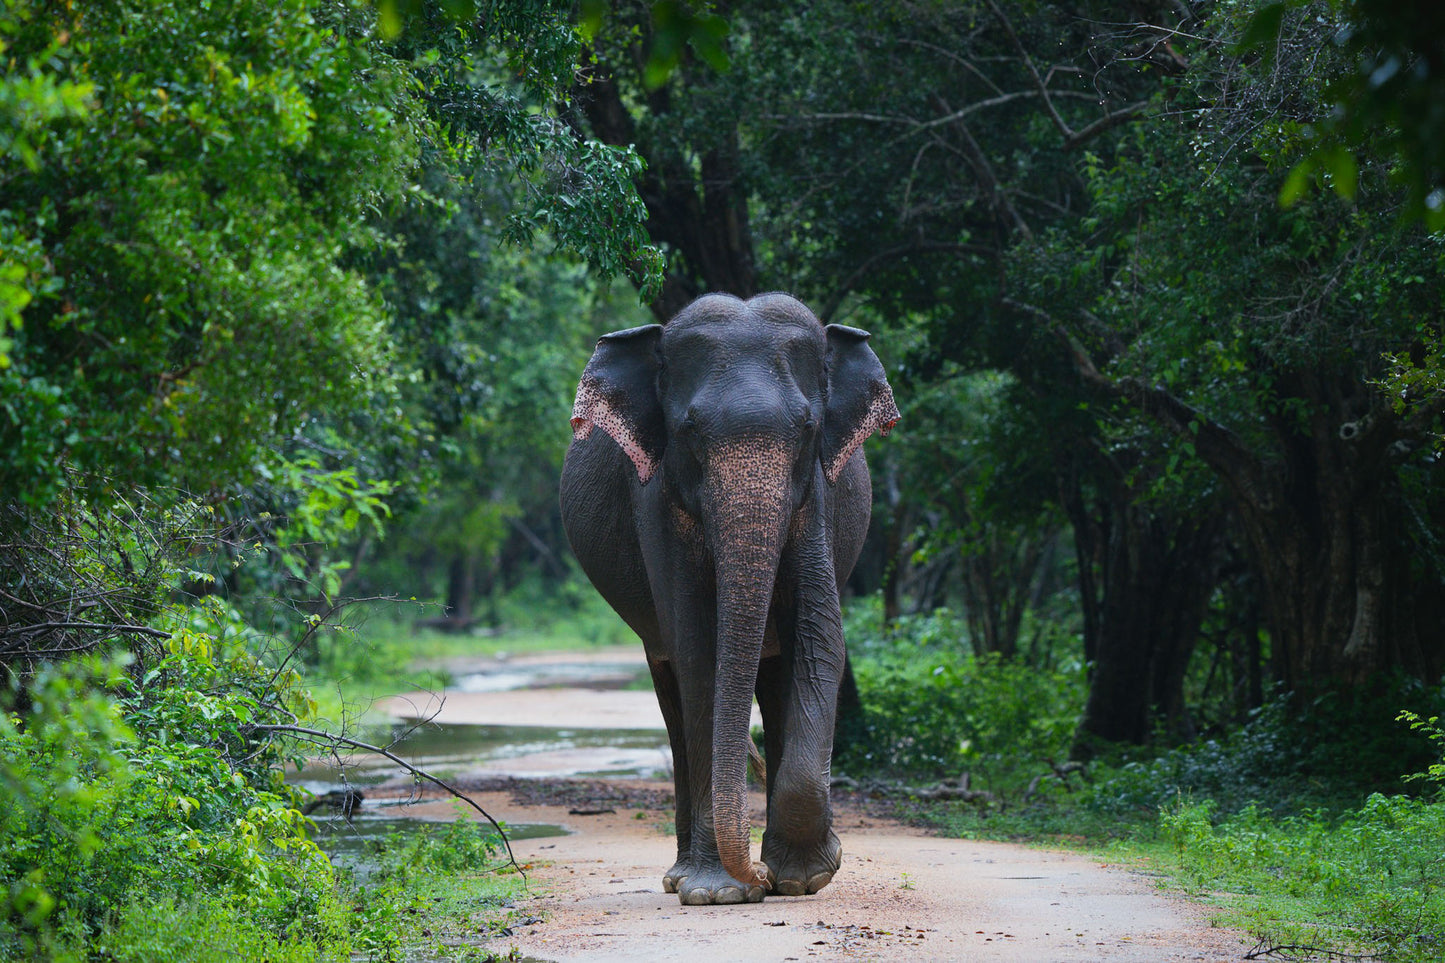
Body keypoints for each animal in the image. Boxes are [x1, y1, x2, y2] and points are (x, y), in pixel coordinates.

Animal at [559, 292, 898, 905]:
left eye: (808, 427)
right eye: (689, 428)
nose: (756, 879)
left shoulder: (816, 495)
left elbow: (819, 636)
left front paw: (804, 878)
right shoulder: (657, 501)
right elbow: (699, 648)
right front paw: (718, 893)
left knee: (777, 674)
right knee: (673, 687)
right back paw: (680, 878)